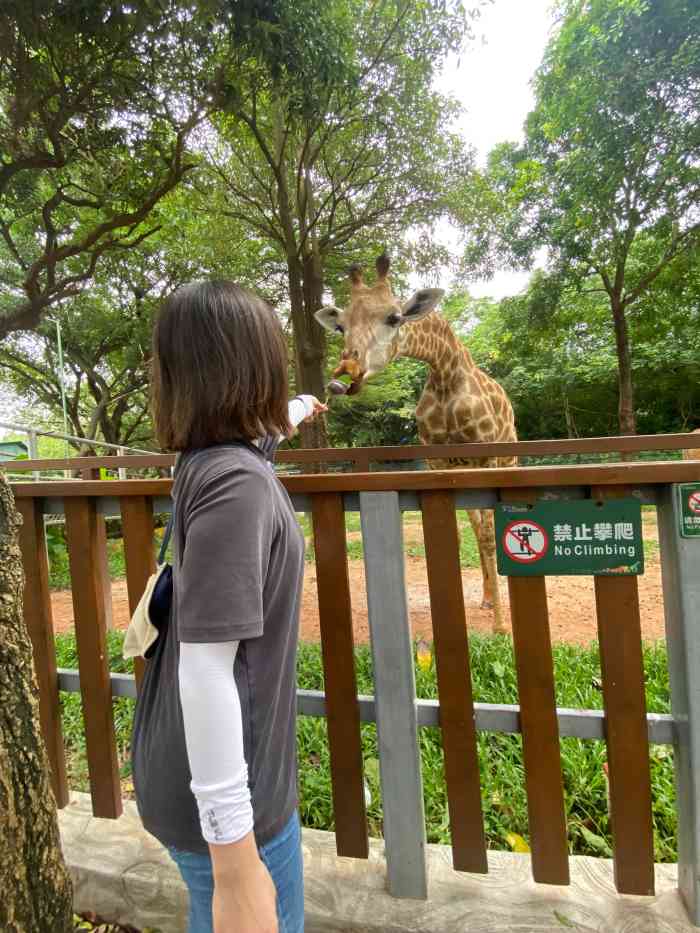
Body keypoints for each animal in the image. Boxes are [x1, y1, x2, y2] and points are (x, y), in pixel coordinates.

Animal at [314, 253, 516, 632]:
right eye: (340, 327)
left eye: (394, 318)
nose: (347, 371)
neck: (446, 375)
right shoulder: (437, 460)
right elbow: (452, 532)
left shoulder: (486, 456)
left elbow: (488, 534)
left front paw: (500, 625)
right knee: (474, 523)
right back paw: (484, 597)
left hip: (508, 457)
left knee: (486, 527)